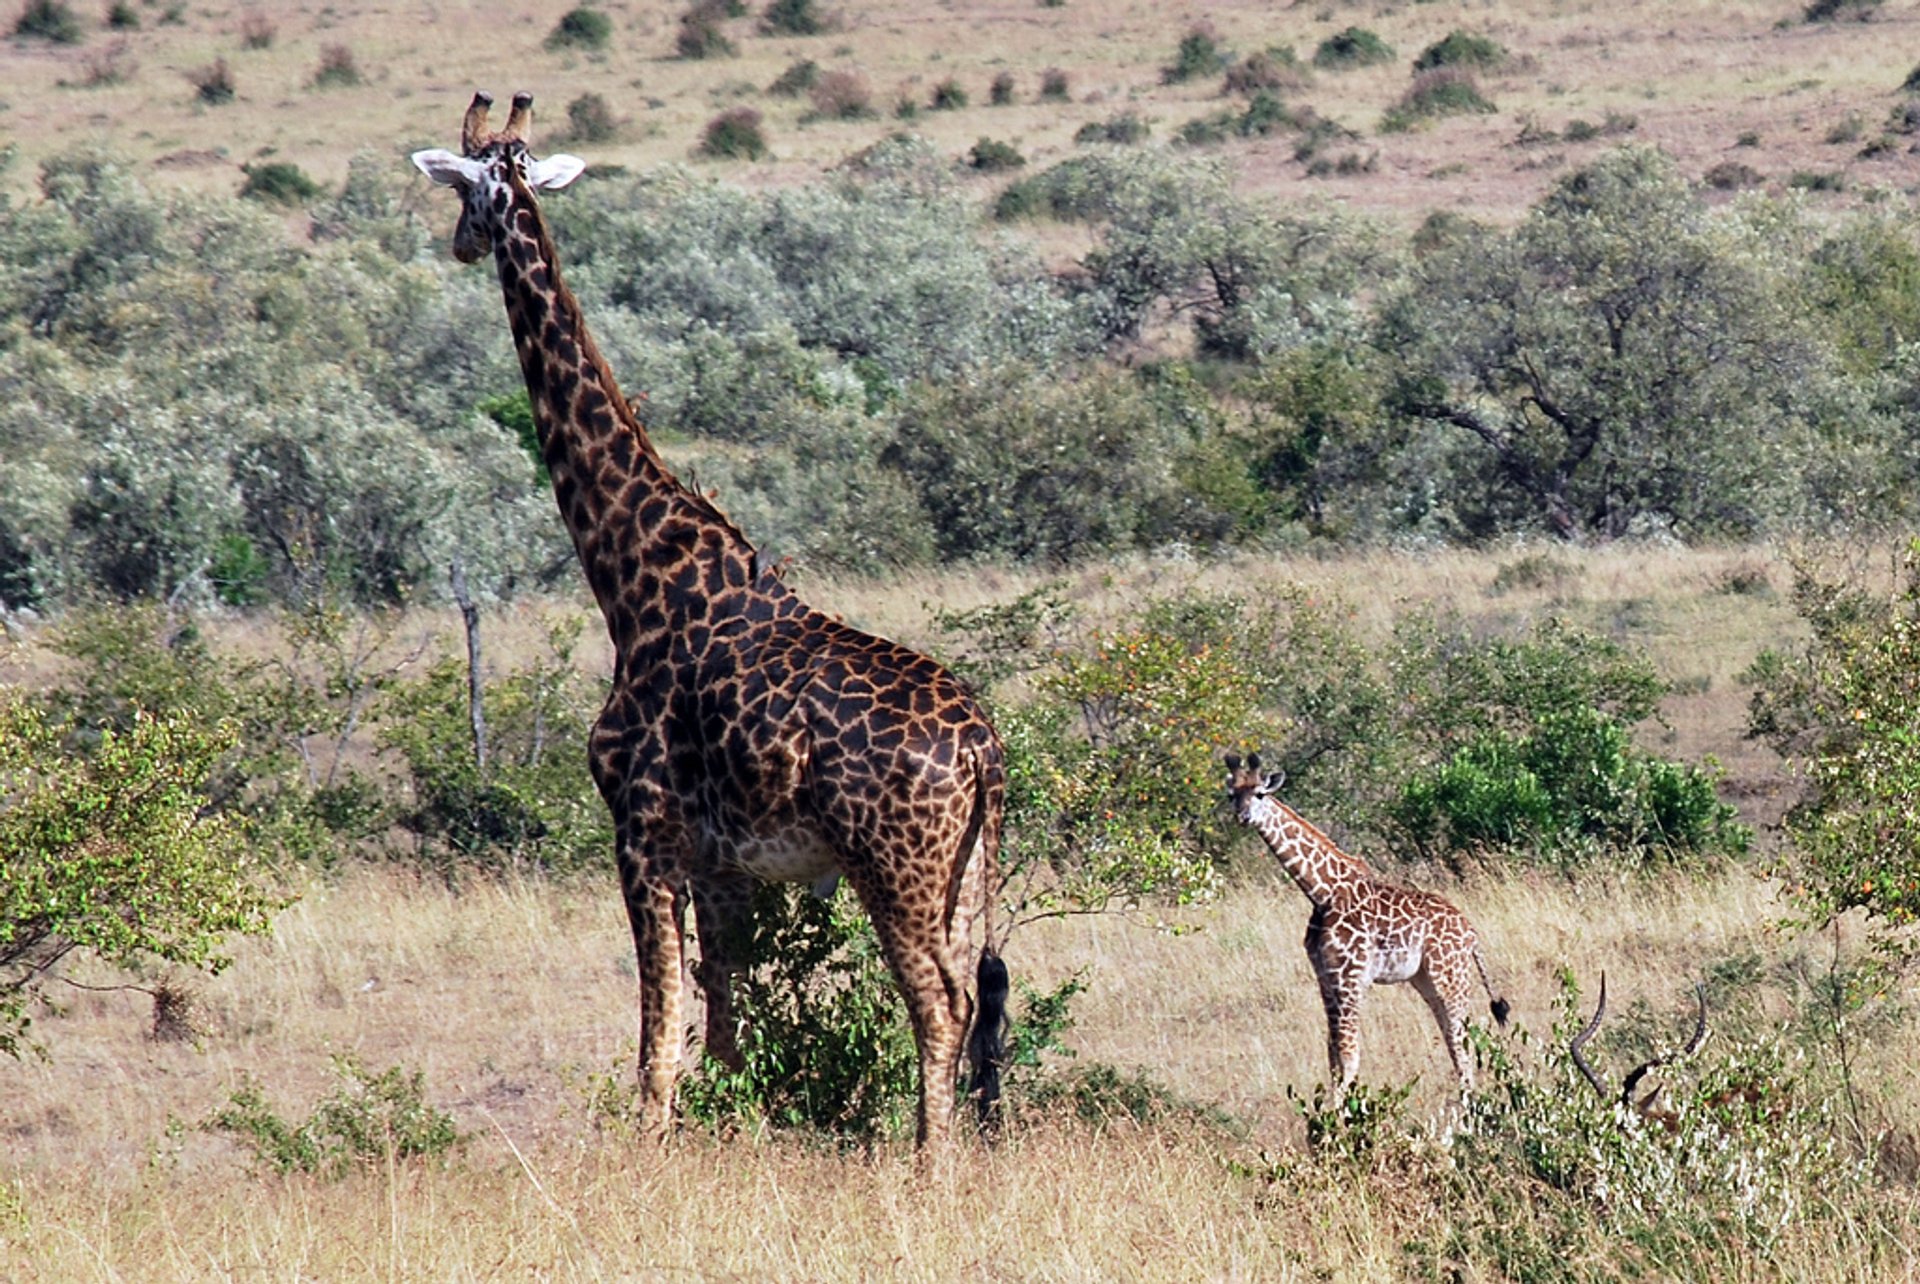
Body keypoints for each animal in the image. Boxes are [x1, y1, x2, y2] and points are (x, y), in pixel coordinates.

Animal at [412, 92, 1013, 1151]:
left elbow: (659, 1029)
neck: (635, 581)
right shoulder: (727, 863)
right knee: (977, 997)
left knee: (937, 1002)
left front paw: (649, 1152)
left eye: (466, 191)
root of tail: (980, 745)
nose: (458, 243)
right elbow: (728, 1026)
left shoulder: (641, 831)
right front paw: (735, 1146)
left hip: (894, 865)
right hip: (968, 870)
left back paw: (925, 1167)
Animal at [1221, 752, 1505, 1105]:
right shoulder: (1326, 978)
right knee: (1454, 1040)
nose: (1243, 817)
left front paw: (1339, 1116)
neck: (1323, 891)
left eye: (1260, 794)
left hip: (1450, 975)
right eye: (1232, 795)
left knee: (1461, 1040)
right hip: (1426, 979)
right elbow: (1332, 1055)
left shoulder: (1350, 977)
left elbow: (1349, 1055)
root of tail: (1470, 932)